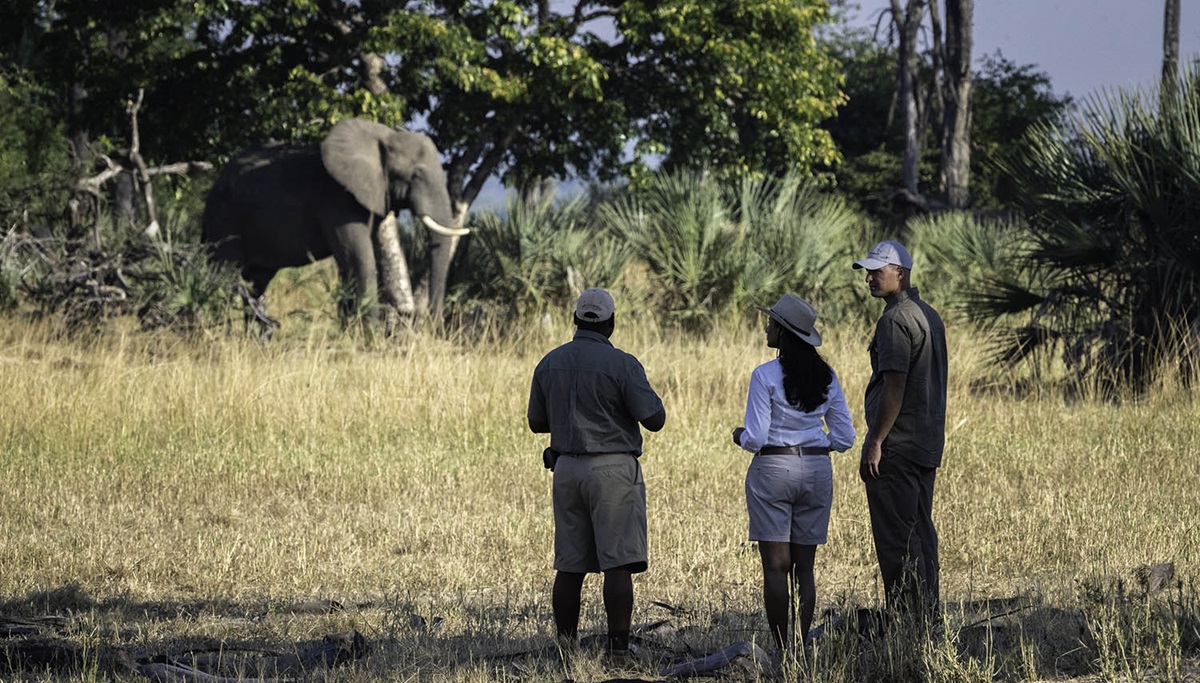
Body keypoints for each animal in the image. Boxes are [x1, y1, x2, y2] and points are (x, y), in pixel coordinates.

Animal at [201, 117, 468, 336]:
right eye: (415, 176)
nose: (431, 328)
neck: (382, 137)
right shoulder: (337, 198)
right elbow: (360, 260)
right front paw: (370, 338)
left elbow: (354, 262)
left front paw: (352, 334)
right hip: (223, 217)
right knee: (221, 275)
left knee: (256, 281)